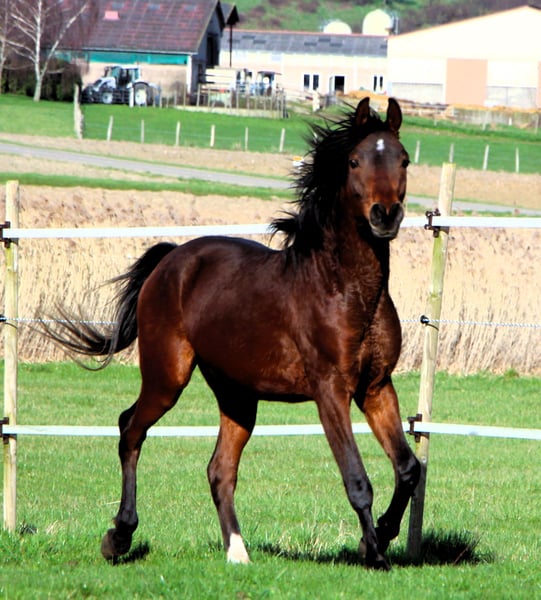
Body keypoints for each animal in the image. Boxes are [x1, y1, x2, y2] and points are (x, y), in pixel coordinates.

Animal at [43, 97, 420, 570]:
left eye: (403, 159)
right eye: (355, 161)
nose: (385, 216)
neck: (346, 289)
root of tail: (172, 259)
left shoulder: (376, 387)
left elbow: (408, 469)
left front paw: (383, 534)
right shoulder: (331, 389)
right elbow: (356, 477)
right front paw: (374, 552)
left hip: (237, 396)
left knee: (219, 469)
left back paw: (237, 552)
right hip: (168, 377)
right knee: (130, 429)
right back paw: (119, 536)